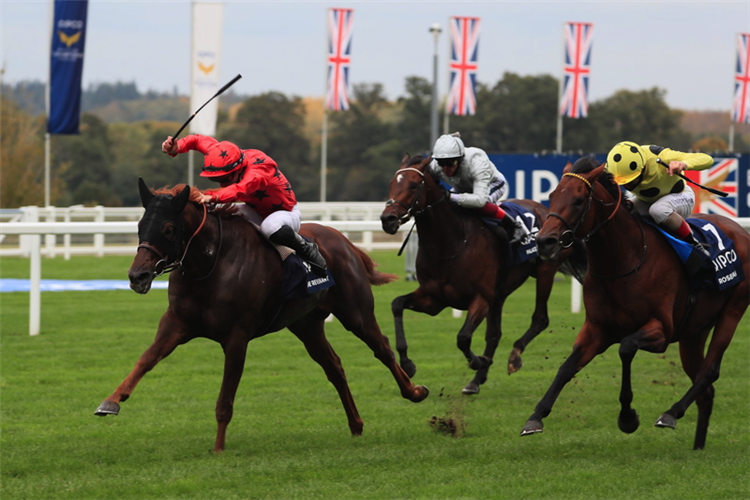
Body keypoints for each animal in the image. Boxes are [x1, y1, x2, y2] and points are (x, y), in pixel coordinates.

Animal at [95, 178, 428, 452]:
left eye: (168, 228)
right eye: (140, 226)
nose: (137, 276)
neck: (212, 264)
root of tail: (344, 241)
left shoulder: (236, 337)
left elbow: (225, 399)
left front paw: (218, 448)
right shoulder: (176, 323)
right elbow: (146, 360)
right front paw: (111, 401)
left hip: (355, 312)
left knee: (382, 349)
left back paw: (414, 391)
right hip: (306, 325)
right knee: (334, 367)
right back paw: (356, 425)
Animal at [382, 154, 588, 396]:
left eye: (414, 185)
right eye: (391, 184)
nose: (387, 219)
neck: (450, 243)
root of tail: (548, 212)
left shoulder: (480, 298)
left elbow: (463, 337)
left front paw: (478, 360)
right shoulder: (434, 299)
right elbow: (397, 304)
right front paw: (407, 364)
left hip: (545, 269)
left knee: (540, 319)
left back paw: (513, 356)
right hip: (499, 294)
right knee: (494, 334)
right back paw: (476, 380)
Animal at [524, 158, 750, 452]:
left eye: (578, 200)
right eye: (551, 196)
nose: (544, 241)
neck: (623, 261)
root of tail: (741, 232)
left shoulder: (661, 330)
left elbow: (626, 347)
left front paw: (628, 417)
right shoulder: (596, 330)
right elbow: (566, 368)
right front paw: (535, 417)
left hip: (732, 311)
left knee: (709, 371)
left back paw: (671, 413)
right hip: (694, 331)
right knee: (705, 387)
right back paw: (698, 446)